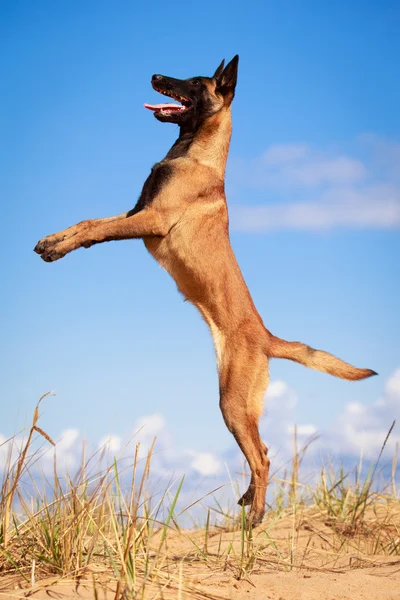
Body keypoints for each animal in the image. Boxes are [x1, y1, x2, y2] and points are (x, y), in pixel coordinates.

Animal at [33, 56, 376, 524]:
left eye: (195, 82)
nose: (155, 76)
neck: (196, 155)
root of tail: (266, 337)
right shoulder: (136, 211)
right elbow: (88, 222)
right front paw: (52, 242)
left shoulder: (151, 219)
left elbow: (94, 231)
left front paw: (58, 248)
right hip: (238, 402)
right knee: (263, 450)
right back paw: (249, 498)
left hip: (231, 402)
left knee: (262, 457)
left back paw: (255, 516)